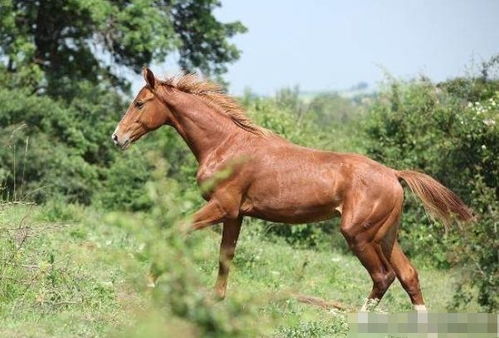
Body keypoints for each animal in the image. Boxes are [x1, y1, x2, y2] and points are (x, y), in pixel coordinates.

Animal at [111, 68, 474, 312]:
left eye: (140, 103)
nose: (117, 137)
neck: (226, 145)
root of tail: (394, 174)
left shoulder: (221, 206)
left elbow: (177, 229)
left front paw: (151, 281)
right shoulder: (235, 214)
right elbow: (226, 256)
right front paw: (216, 302)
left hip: (358, 234)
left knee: (383, 277)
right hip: (385, 235)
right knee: (409, 275)